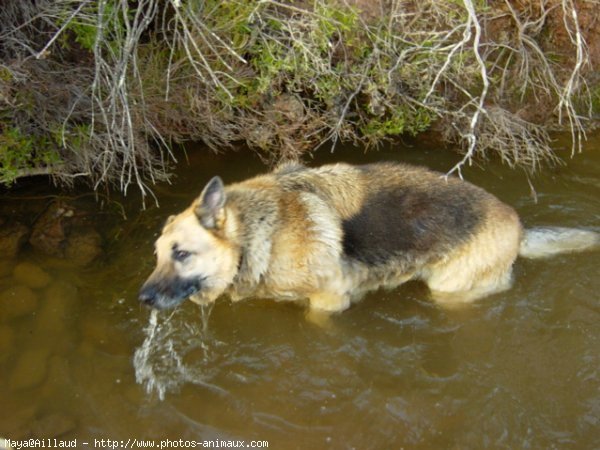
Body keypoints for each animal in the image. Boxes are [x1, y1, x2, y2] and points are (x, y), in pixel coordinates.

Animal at [139, 162, 596, 312]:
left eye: (182, 254)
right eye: (157, 255)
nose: (142, 298)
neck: (262, 233)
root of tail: (517, 225)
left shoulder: (331, 298)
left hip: (450, 289)